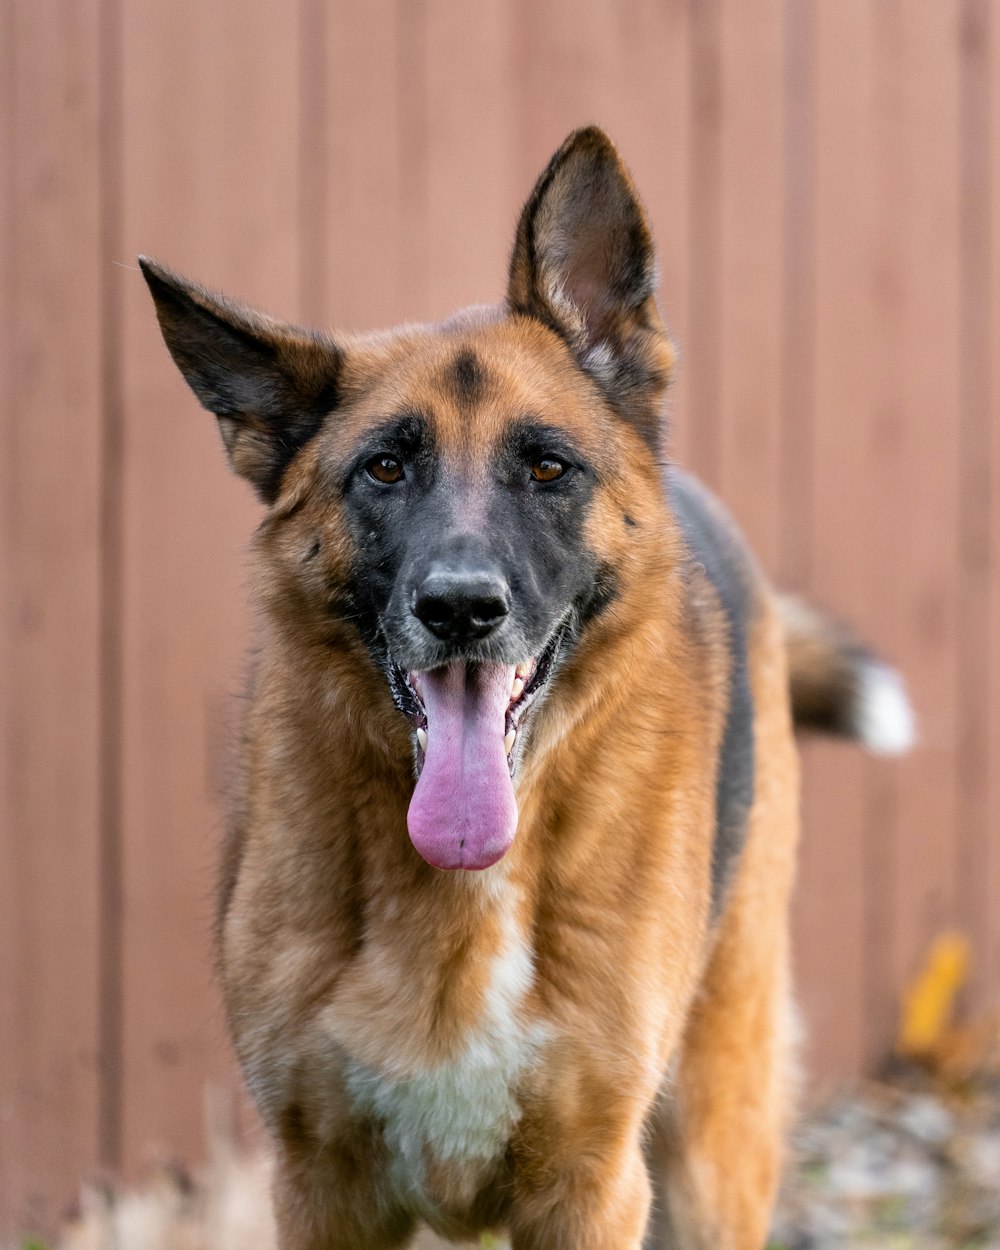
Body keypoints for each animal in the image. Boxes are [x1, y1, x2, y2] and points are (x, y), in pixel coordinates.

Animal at [140, 126, 915, 1250]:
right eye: (384, 469)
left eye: (547, 468)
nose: (461, 607)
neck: (460, 892)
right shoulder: (324, 1187)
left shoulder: (592, 1186)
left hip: (713, 1145)